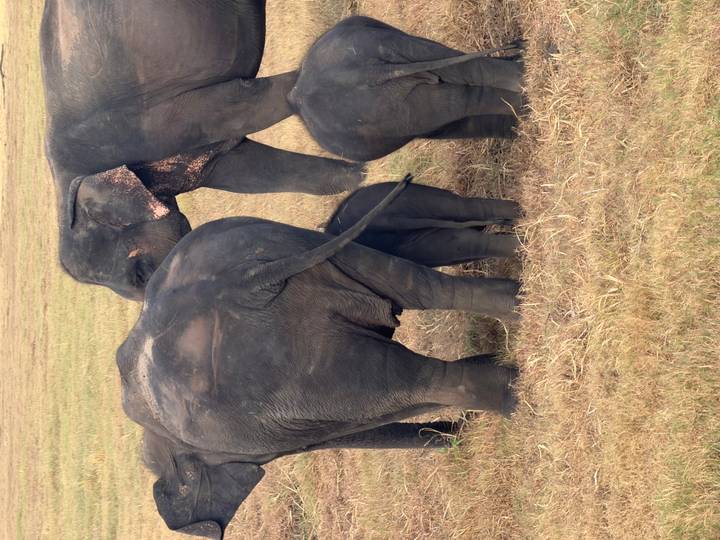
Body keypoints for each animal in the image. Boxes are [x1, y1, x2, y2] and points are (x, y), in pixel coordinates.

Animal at [41, 0, 364, 300]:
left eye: (140, 273)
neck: (66, 182)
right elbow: (247, 171)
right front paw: (360, 179)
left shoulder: (160, 116)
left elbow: (252, 104)